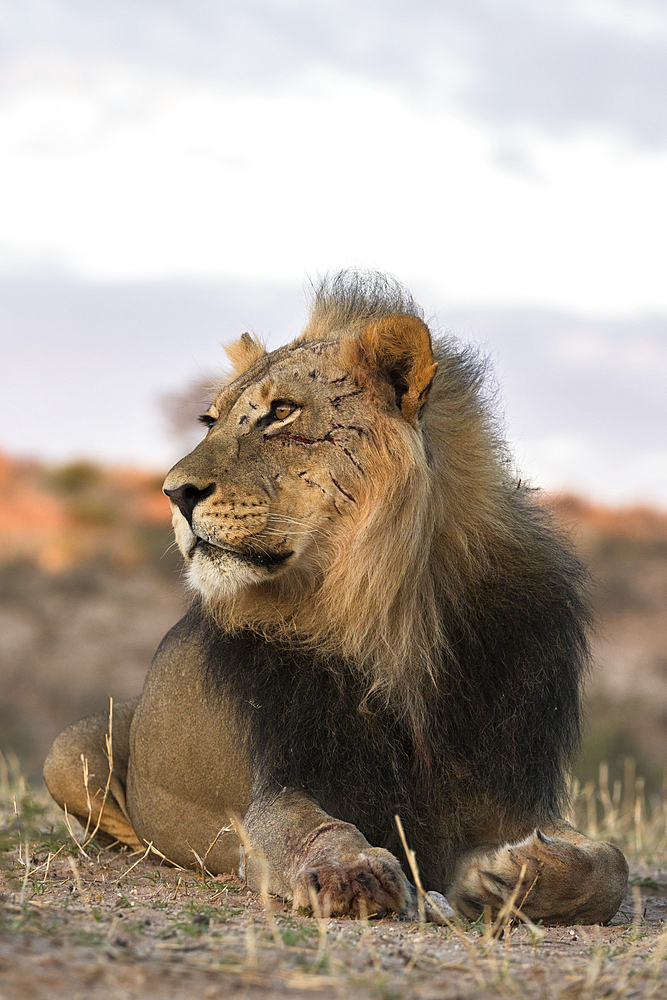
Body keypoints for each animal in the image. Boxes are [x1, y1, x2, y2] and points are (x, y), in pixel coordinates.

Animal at [44, 272, 628, 920]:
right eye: (209, 420)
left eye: (281, 412)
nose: (173, 492)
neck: (395, 617)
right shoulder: (278, 788)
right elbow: (311, 829)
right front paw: (350, 870)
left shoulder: (507, 792)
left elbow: (612, 864)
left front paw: (511, 876)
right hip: (68, 750)